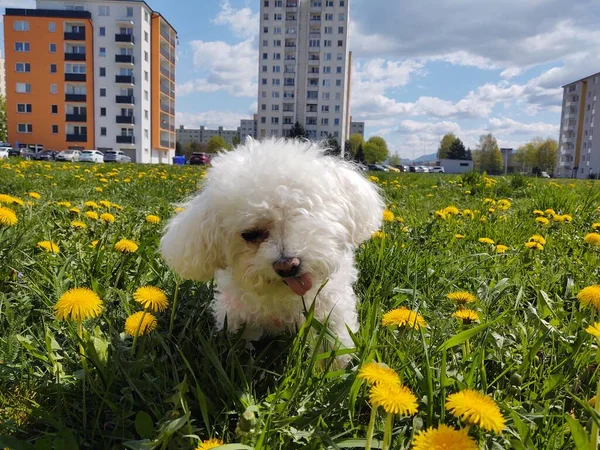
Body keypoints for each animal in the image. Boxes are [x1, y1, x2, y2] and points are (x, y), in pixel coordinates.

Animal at [161, 139, 384, 350]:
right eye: (250, 234)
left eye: (303, 213)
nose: (287, 266)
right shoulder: (235, 313)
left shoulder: (333, 306)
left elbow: (332, 341)